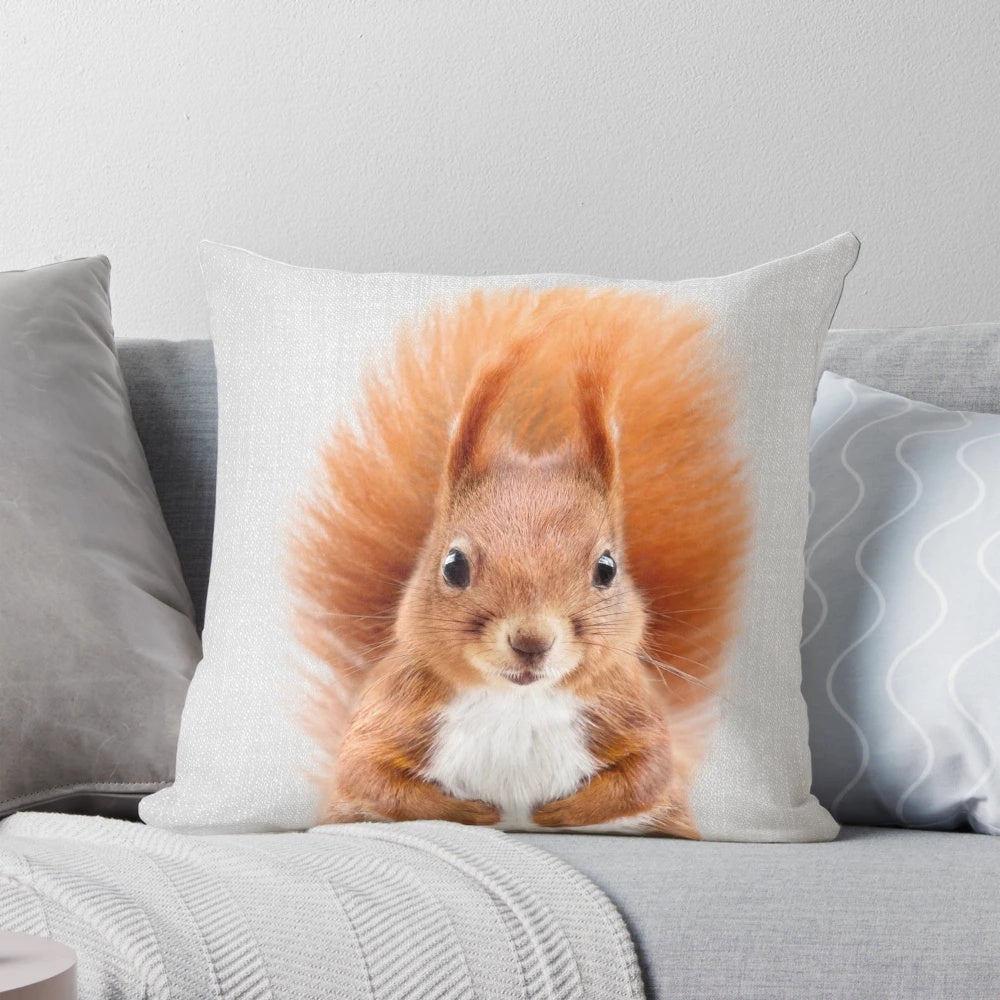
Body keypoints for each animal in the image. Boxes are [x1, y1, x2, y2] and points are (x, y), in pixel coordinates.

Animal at [289, 287, 750, 837]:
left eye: (607, 569)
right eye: (453, 566)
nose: (532, 642)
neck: (517, 701)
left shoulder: (628, 711)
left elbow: (652, 769)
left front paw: (559, 812)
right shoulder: (395, 711)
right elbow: (364, 768)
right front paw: (473, 812)